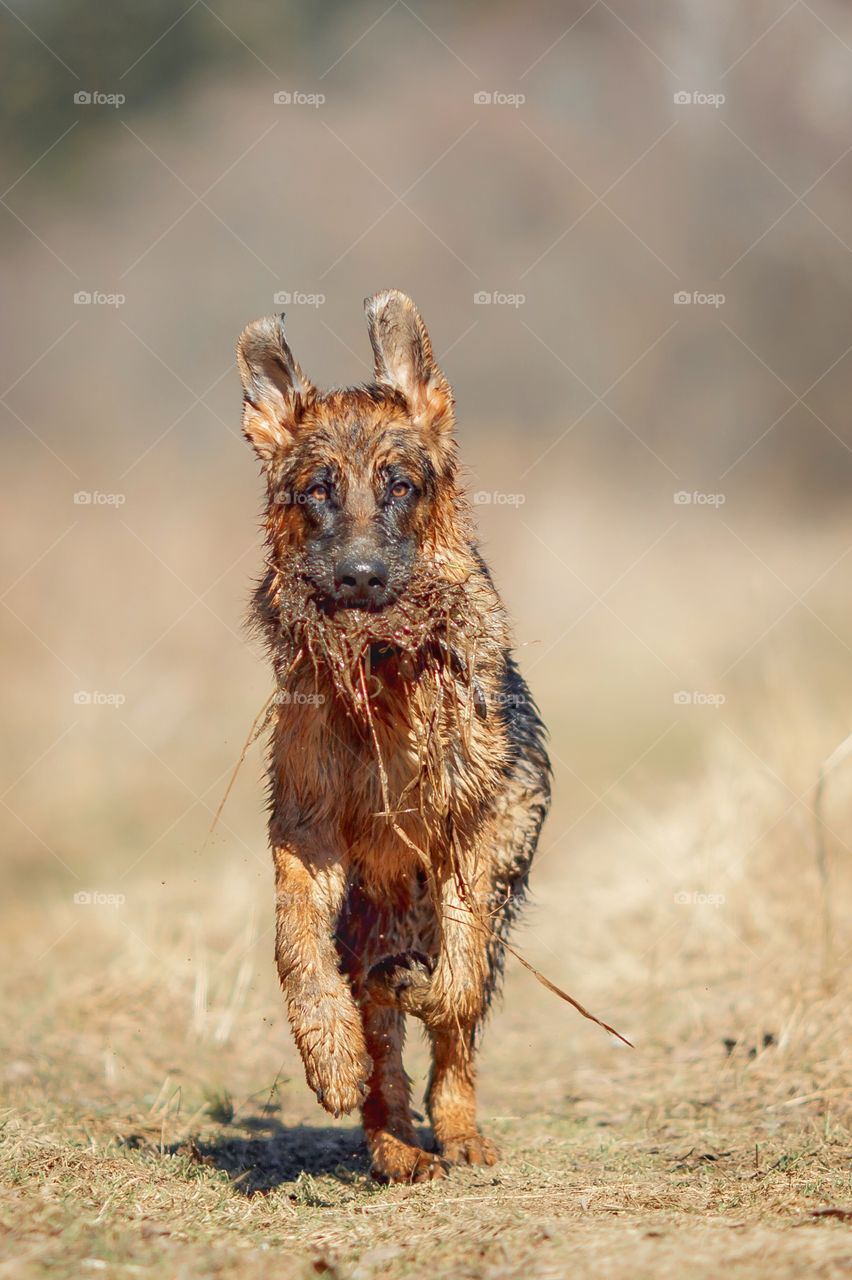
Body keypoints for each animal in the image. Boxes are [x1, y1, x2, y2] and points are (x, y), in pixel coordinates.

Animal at [235, 290, 547, 1177]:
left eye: (401, 485)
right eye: (317, 491)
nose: (361, 579)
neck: (383, 680)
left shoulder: (479, 830)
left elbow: (456, 981)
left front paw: (419, 988)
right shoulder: (306, 834)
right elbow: (295, 946)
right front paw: (327, 1049)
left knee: (456, 1028)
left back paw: (457, 1128)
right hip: (366, 911)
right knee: (382, 1047)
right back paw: (394, 1142)